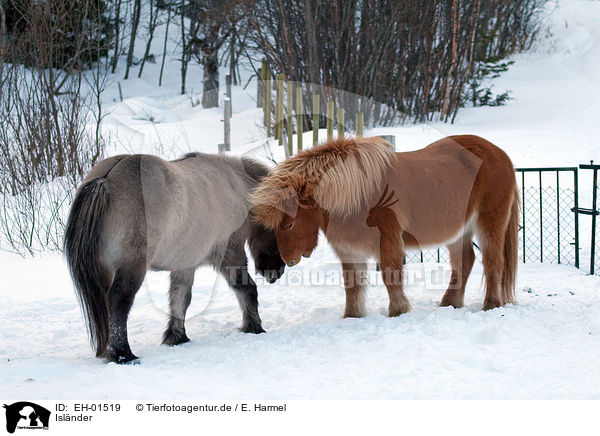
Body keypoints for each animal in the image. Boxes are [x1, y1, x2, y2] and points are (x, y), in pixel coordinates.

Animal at [64, 152, 284, 362]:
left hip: (105, 270)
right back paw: (122, 354)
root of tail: (106, 180)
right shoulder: (230, 253)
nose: (277, 271)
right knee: (118, 300)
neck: (234, 184)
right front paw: (253, 327)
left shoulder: (185, 264)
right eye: (284, 225)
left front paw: (176, 336)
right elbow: (246, 289)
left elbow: (180, 297)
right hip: (132, 266)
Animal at [251, 135, 516, 316]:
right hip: (459, 231)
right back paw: (450, 303)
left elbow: (391, 275)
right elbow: (353, 285)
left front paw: (398, 310)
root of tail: (500, 153)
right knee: (464, 261)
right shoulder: (349, 250)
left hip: (489, 222)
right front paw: (352, 316)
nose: (287, 262)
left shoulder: (388, 241)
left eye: (288, 225)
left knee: (493, 261)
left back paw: (491, 304)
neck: (359, 195)